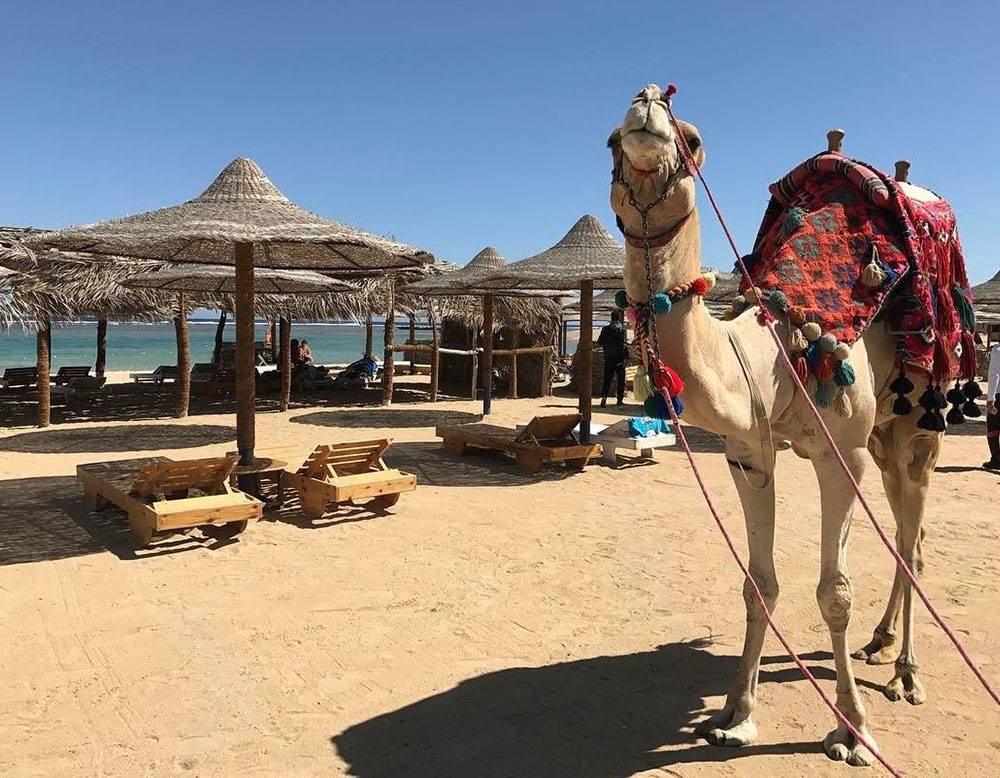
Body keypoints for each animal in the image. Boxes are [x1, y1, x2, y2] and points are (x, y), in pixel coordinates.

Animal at [608, 84, 948, 767]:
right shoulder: (749, 452)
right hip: (881, 438)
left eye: (693, 138)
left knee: (912, 542)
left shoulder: (841, 453)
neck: (779, 351)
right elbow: (758, 584)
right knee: (906, 530)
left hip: (917, 424)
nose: (647, 100)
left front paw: (851, 729)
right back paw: (878, 644)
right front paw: (736, 714)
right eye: (610, 142)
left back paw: (906, 673)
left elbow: (834, 591)